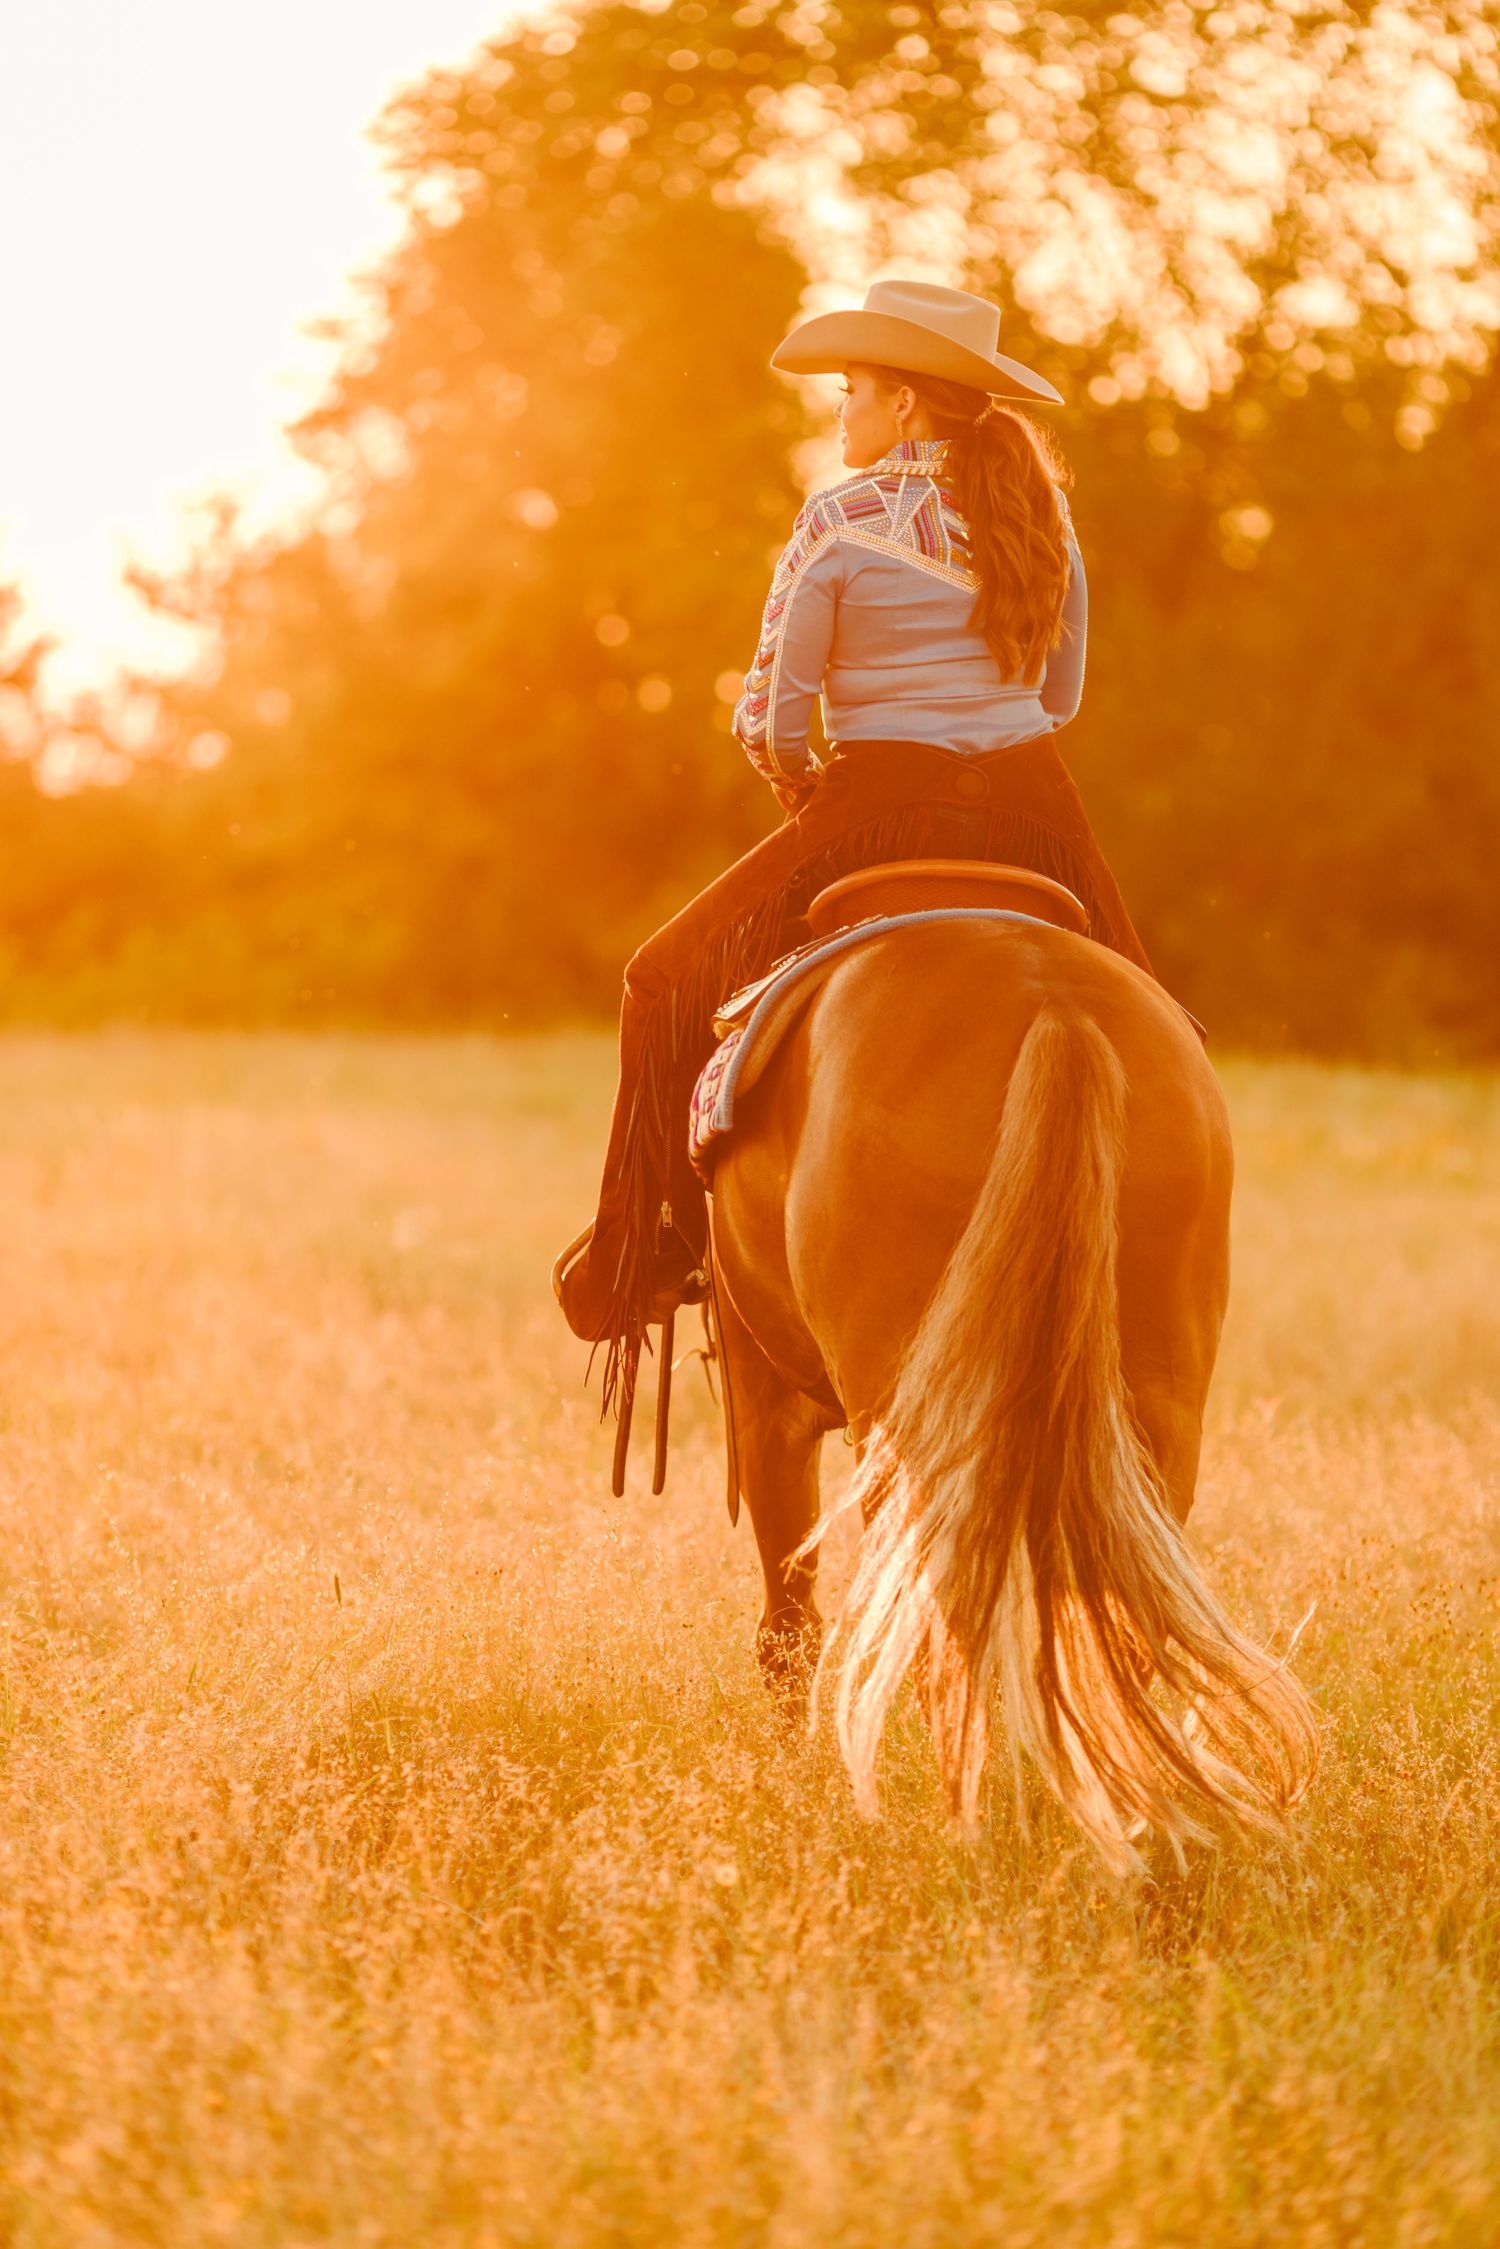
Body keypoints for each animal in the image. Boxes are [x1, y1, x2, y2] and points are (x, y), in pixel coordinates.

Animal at [706, 912, 1318, 1869]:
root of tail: (1052, 1002)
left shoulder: (765, 1394)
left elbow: (788, 1621)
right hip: (1152, 1416)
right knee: (1115, 1625)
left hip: (907, 1421)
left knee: (940, 1626)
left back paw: (968, 1815)